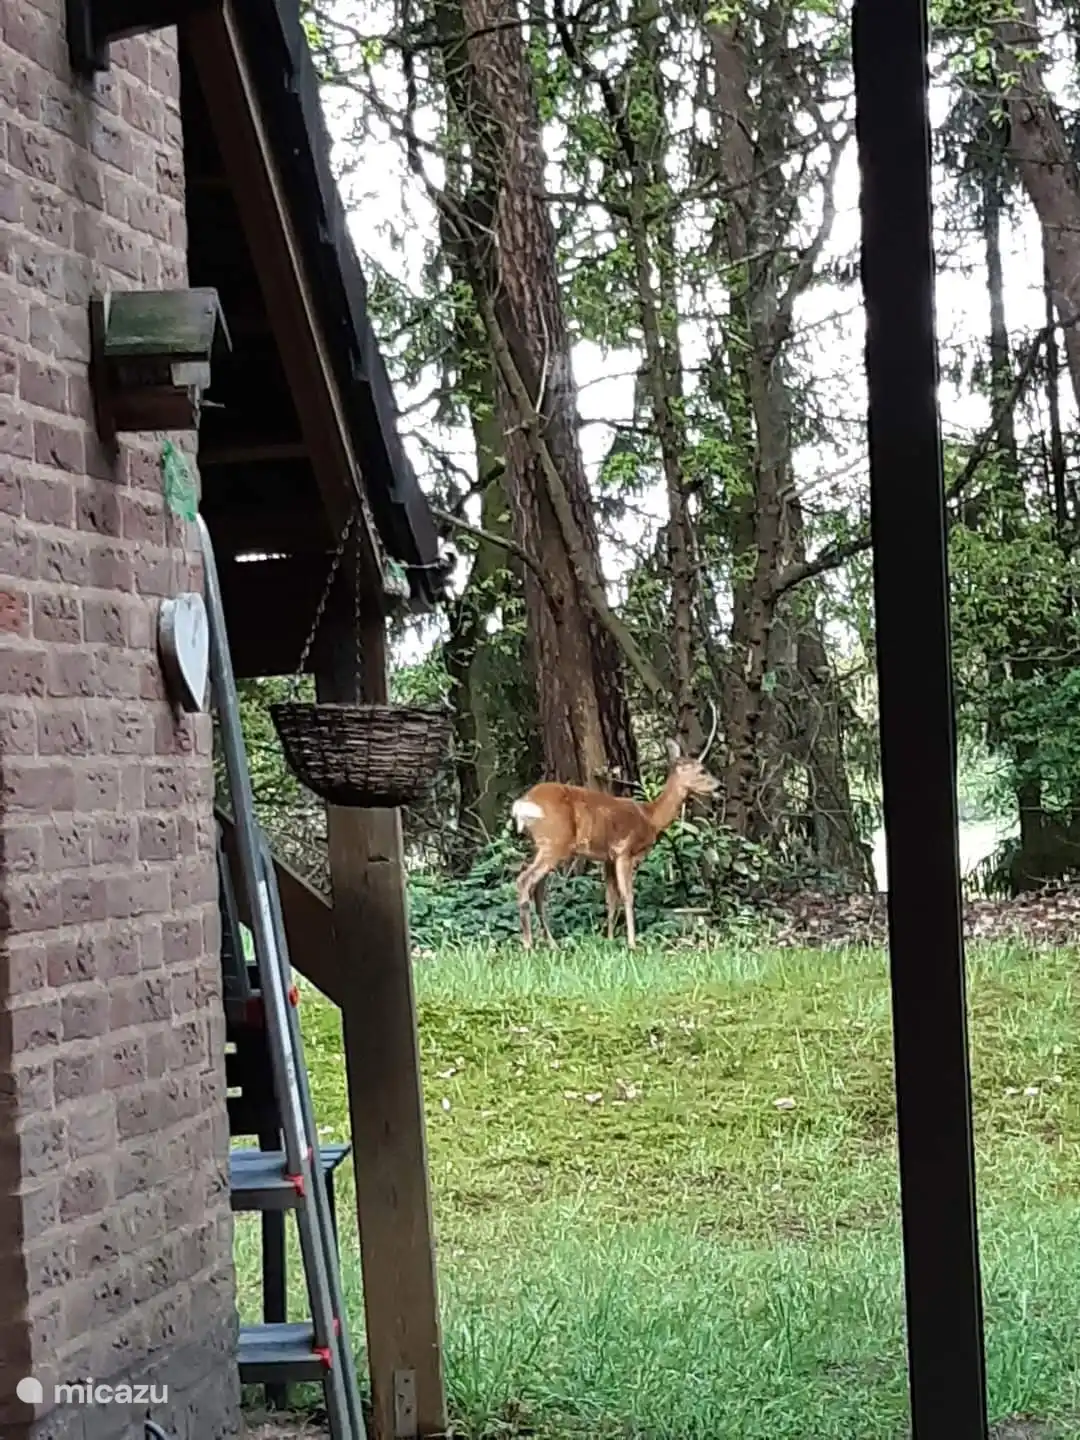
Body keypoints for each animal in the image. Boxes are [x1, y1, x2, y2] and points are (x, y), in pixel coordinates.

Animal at [509, 706, 721, 949]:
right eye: (702, 770)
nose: (719, 786)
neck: (650, 817)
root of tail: (522, 803)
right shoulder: (624, 851)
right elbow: (628, 896)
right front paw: (632, 943)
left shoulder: (608, 858)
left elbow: (611, 899)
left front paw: (609, 938)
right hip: (554, 842)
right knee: (524, 881)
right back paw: (528, 945)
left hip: (540, 845)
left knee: (537, 888)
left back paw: (551, 943)